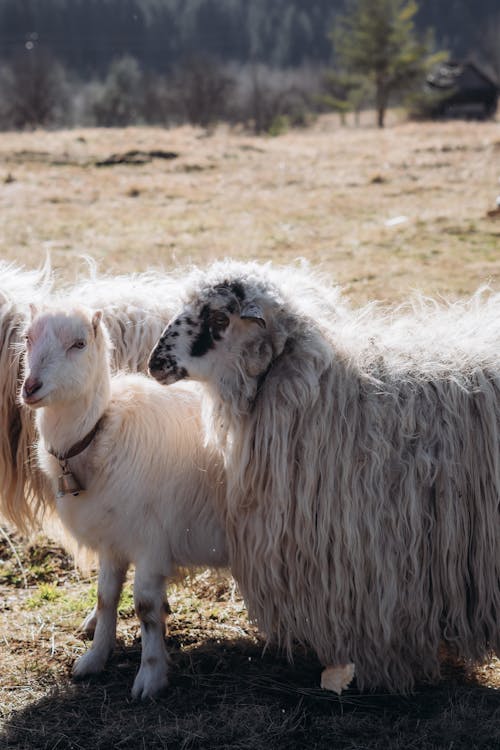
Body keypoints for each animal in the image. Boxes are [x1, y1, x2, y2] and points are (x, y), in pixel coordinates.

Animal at [20, 304, 228, 700]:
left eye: (79, 344)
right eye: (28, 338)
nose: (30, 387)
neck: (100, 433)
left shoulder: (151, 541)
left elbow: (145, 606)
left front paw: (151, 676)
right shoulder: (111, 539)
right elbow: (106, 597)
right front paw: (94, 658)